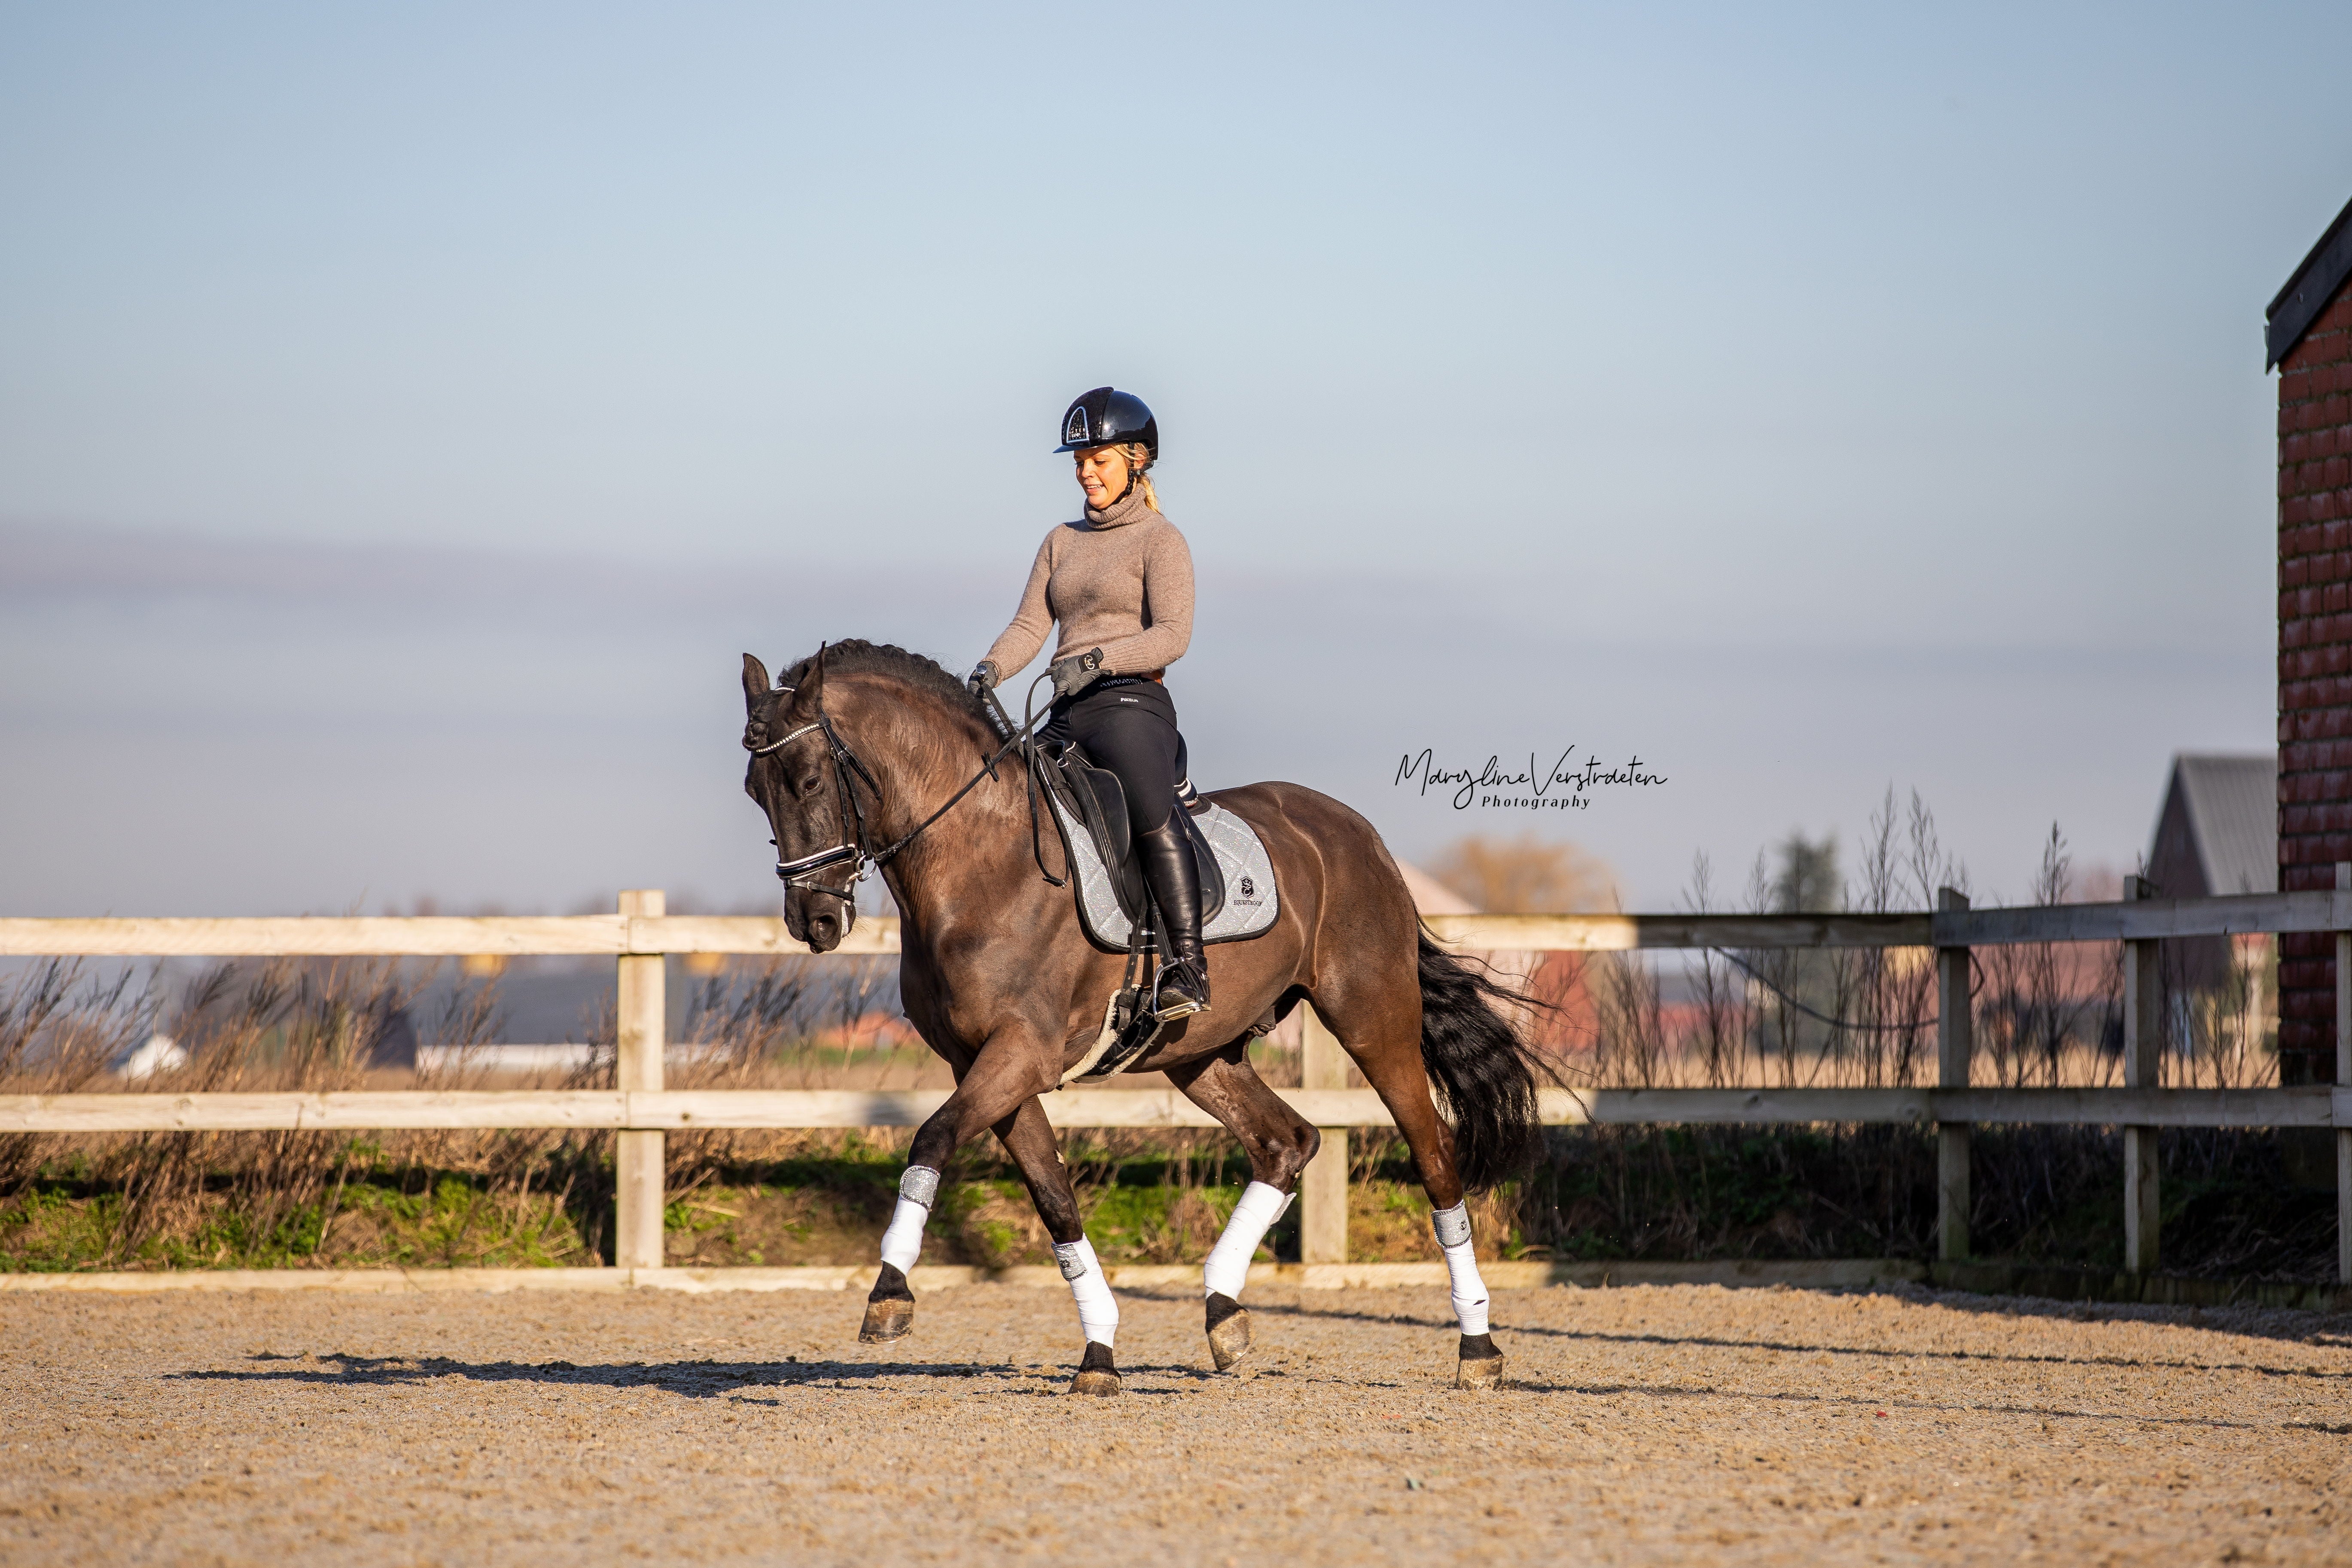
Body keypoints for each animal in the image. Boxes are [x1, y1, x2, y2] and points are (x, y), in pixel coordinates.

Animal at [734, 639, 1543, 1401]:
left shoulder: (1021, 1054)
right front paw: (1099, 1352)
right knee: (1288, 1142)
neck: (978, 861)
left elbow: (931, 1137)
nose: (814, 921)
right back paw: (1224, 1314)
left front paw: (890, 1294)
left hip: (1374, 1022)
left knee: (1435, 1159)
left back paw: (1478, 1347)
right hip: (1202, 1056)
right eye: (754, 791)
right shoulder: (984, 1065)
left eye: (809, 780)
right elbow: (1055, 1199)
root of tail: (1358, 835)